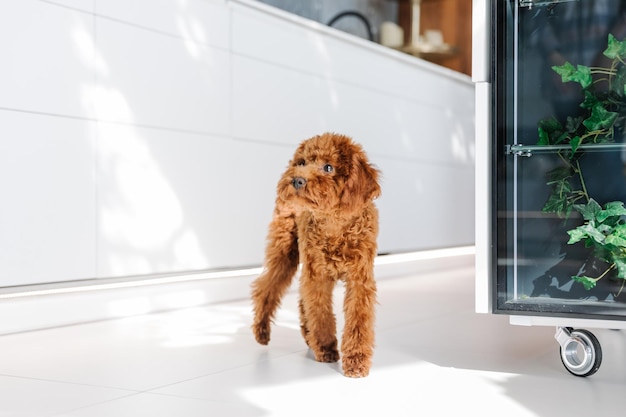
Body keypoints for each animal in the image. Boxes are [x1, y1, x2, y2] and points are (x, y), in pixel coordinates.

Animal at [250, 133, 380, 376]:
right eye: (302, 162)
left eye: (328, 167)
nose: (297, 180)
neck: (334, 223)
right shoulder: (318, 276)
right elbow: (320, 312)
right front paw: (326, 349)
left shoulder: (360, 278)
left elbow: (358, 319)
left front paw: (356, 361)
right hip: (285, 253)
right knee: (265, 288)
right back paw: (262, 331)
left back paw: (306, 335)